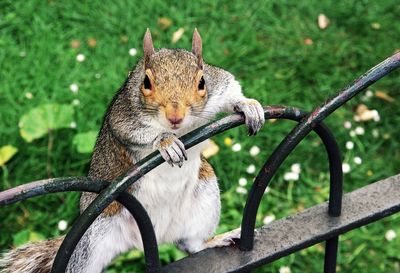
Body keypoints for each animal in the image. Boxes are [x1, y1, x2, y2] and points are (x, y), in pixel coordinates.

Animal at [0, 28, 266, 270]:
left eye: (201, 82)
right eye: (146, 82)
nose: (175, 117)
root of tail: (148, 238)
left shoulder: (218, 83)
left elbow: (231, 87)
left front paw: (248, 105)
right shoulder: (123, 114)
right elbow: (134, 132)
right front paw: (165, 141)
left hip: (205, 194)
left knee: (190, 244)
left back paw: (215, 239)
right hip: (94, 236)